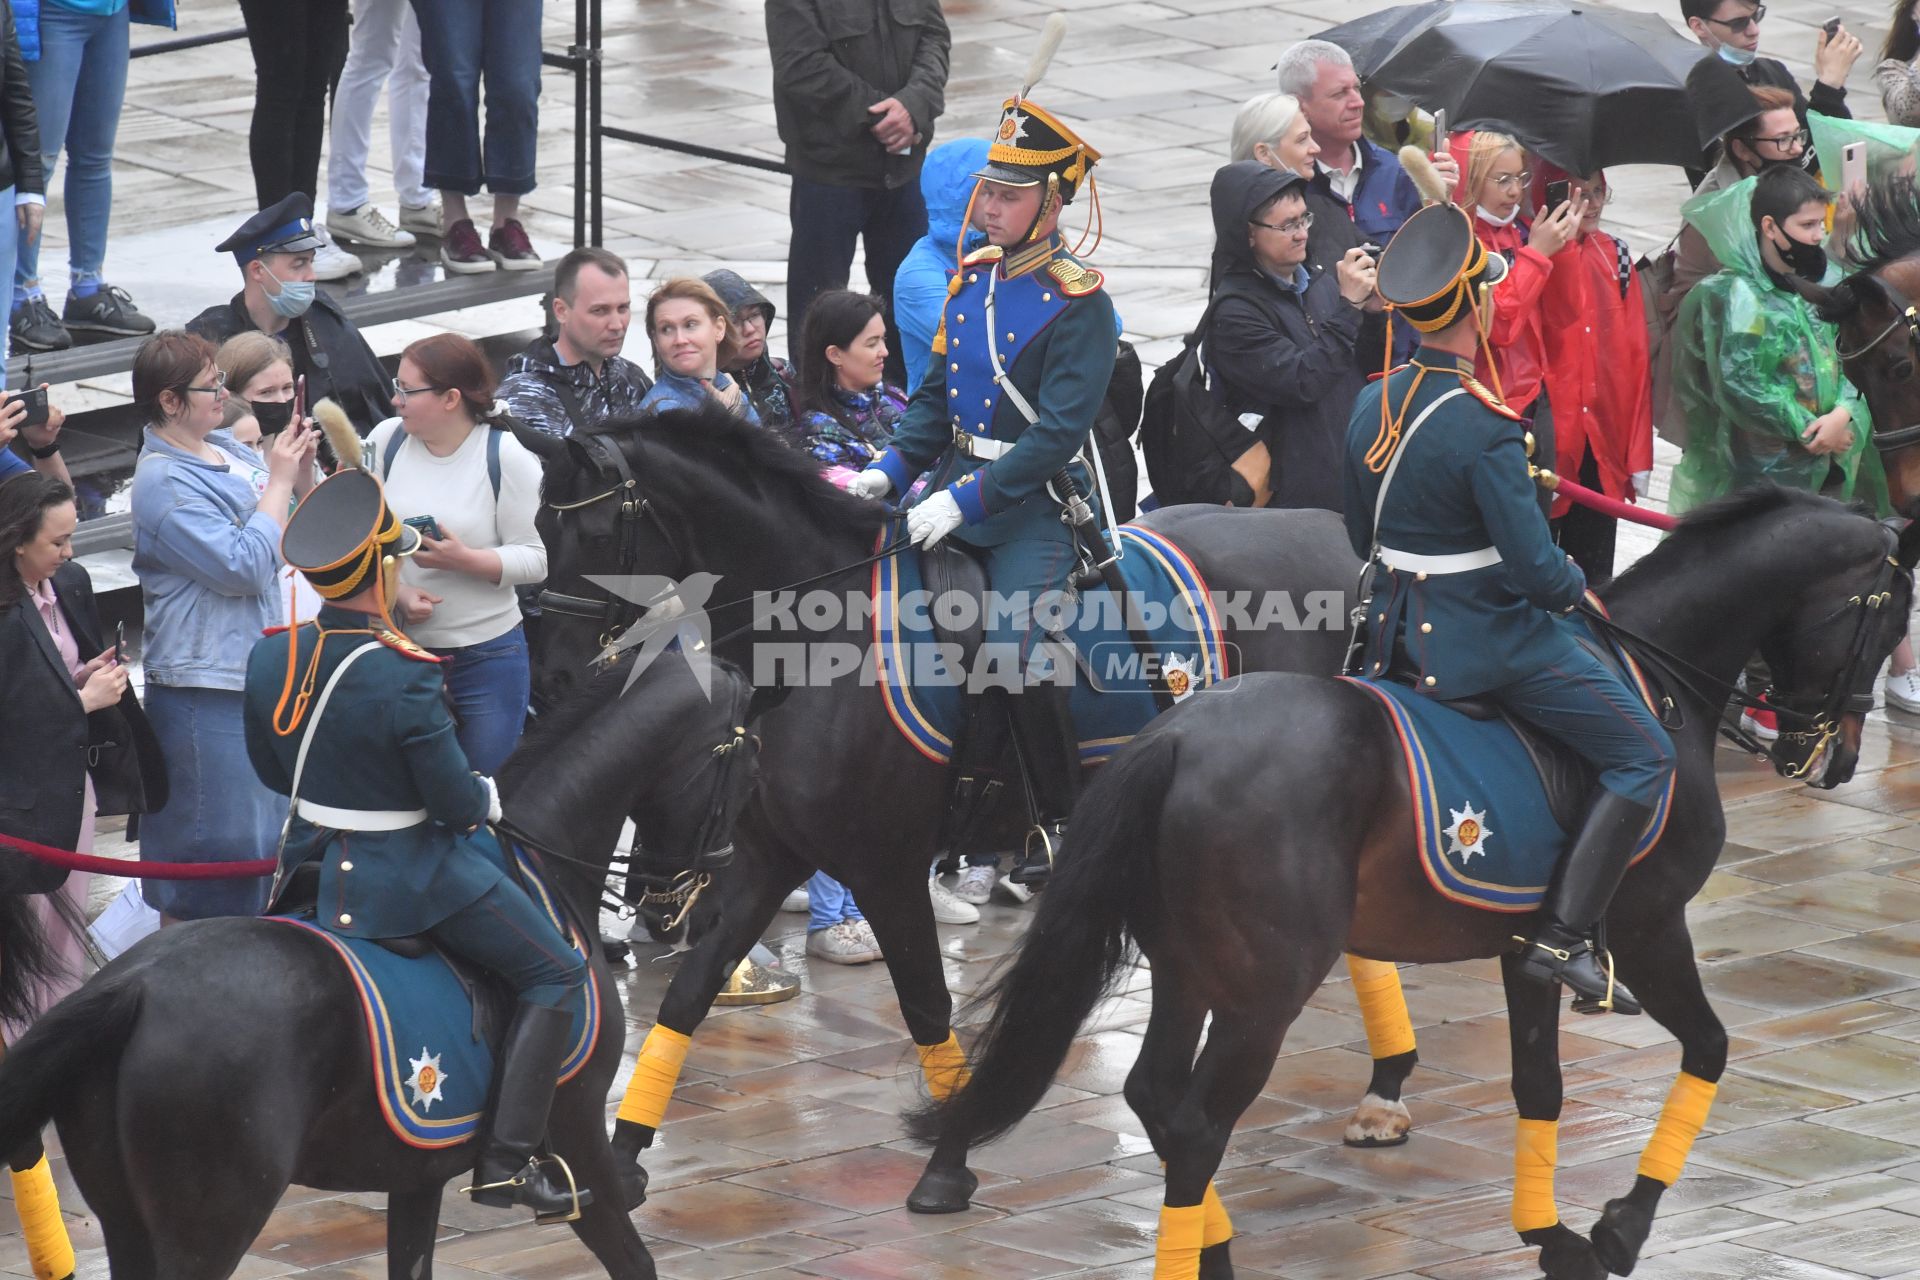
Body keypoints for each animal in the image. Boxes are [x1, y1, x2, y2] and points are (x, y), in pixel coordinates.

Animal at [0, 656, 756, 1274]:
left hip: (129, 1224)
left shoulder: (415, 1177)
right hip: (209, 1226)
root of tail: (131, 988)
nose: (701, 908)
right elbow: (633, 1258)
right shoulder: (577, 1128)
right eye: (743, 760)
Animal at [518, 404, 1359, 1189]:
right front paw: (626, 1151)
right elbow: (688, 996)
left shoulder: (884, 866)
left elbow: (925, 1003)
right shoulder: (769, 858)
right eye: (536, 528)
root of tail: (1338, 534)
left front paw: (949, 1158)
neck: (823, 641)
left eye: (594, 531)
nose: (551, 679)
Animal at [906, 491, 1912, 1280]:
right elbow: (1710, 1047)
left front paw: (1554, 1236)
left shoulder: (1530, 948)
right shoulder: (1651, 925)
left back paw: (1209, 1244)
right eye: (1893, 616)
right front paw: (1620, 1227)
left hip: (1191, 968)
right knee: (1193, 1124)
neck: (1653, 681)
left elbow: (1540, 1087)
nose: (1834, 756)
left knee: (1154, 1094)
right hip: (1264, 990)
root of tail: (1178, 734)